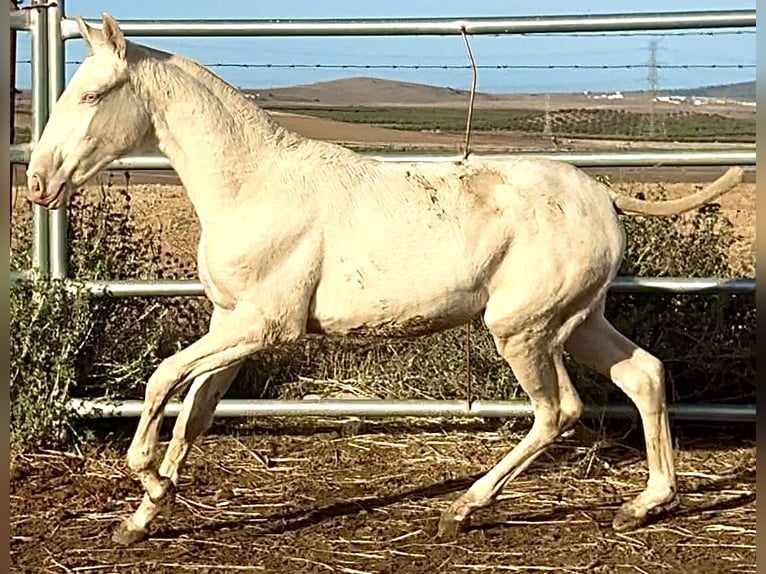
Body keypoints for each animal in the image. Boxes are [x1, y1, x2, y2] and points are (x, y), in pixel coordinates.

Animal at [26, 13, 743, 546]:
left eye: (91, 94)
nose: (38, 182)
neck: (253, 185)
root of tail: (606, 197)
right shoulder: (230, 322)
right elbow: (194, 412)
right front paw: (142, 517)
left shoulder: (267, 326)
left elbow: (161, 382)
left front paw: (148, 482)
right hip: (580, 320)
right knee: (643, 374)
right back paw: (644, 505)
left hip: (523, 329)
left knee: (557, 411)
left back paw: (462, 509)